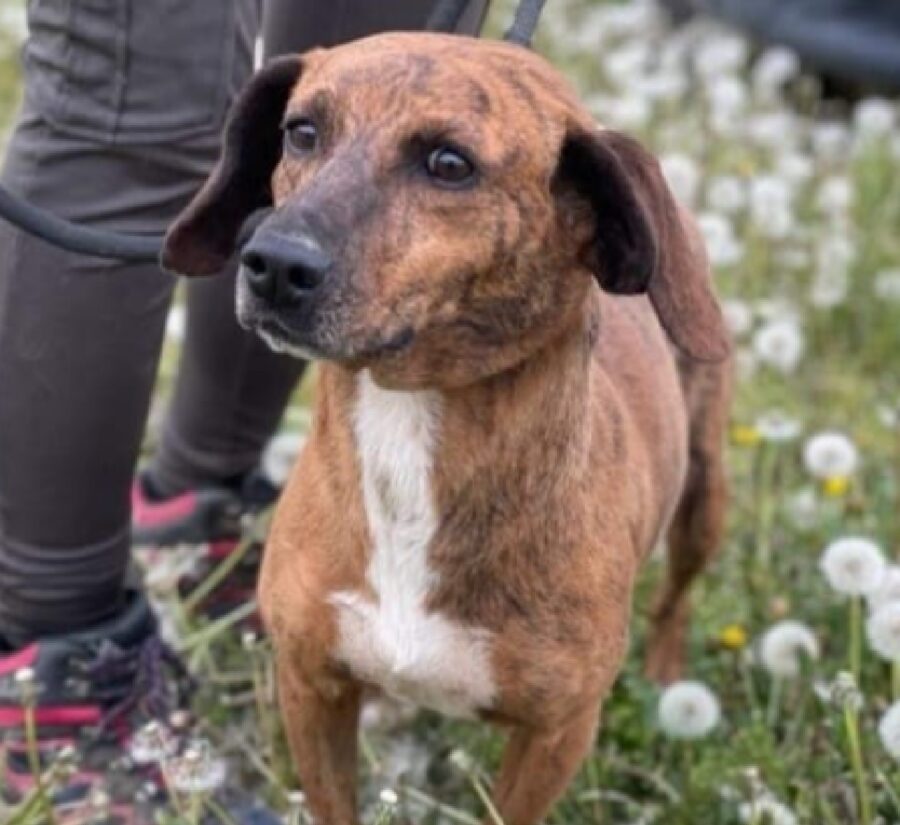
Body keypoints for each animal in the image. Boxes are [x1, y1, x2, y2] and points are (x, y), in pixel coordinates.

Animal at [163, 32, 732, 824]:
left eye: (450, 164)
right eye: (301, 131)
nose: (272, 263)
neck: (409, 421)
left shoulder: (556, 734)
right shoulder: (311, 687)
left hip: (705, 499)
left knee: (677, 596)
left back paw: (667, 678)